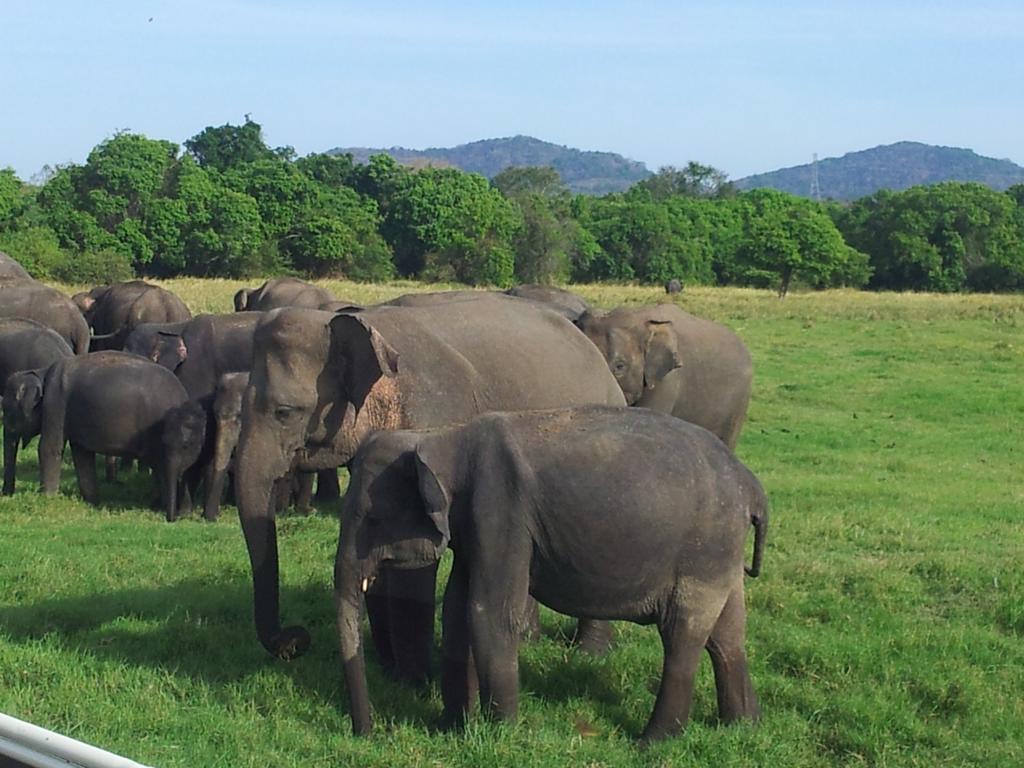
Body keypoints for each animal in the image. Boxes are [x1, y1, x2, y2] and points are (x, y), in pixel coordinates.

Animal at [234, 294, 622, 667]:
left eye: (285, 412)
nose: (296, 639)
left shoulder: (431, 418)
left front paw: (413, 678)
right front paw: (388, 668)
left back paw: (590, 652)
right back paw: (529, 640)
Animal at [335, 405, 770, 741]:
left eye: (371, 519)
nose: (369, 734)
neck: (442, 437)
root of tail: (752, 485)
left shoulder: (501, 510)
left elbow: (489, 612)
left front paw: (502, 734)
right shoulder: (474, 529)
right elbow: (458, 609)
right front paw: (451, 728)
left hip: (704, 551)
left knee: (682, 634)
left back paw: (653, 742)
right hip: (722, 554)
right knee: (727, 635)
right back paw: (742, 726)